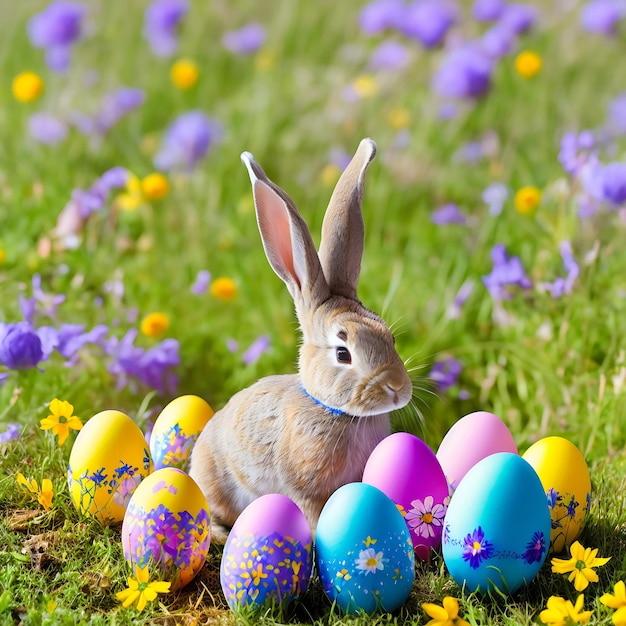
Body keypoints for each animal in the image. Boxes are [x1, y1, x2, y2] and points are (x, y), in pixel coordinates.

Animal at [190, 138, 414, 540]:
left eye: (389, 337)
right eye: (343, 353)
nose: (397, 388)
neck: (337, 412)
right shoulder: (306, 491)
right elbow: (313, 517)